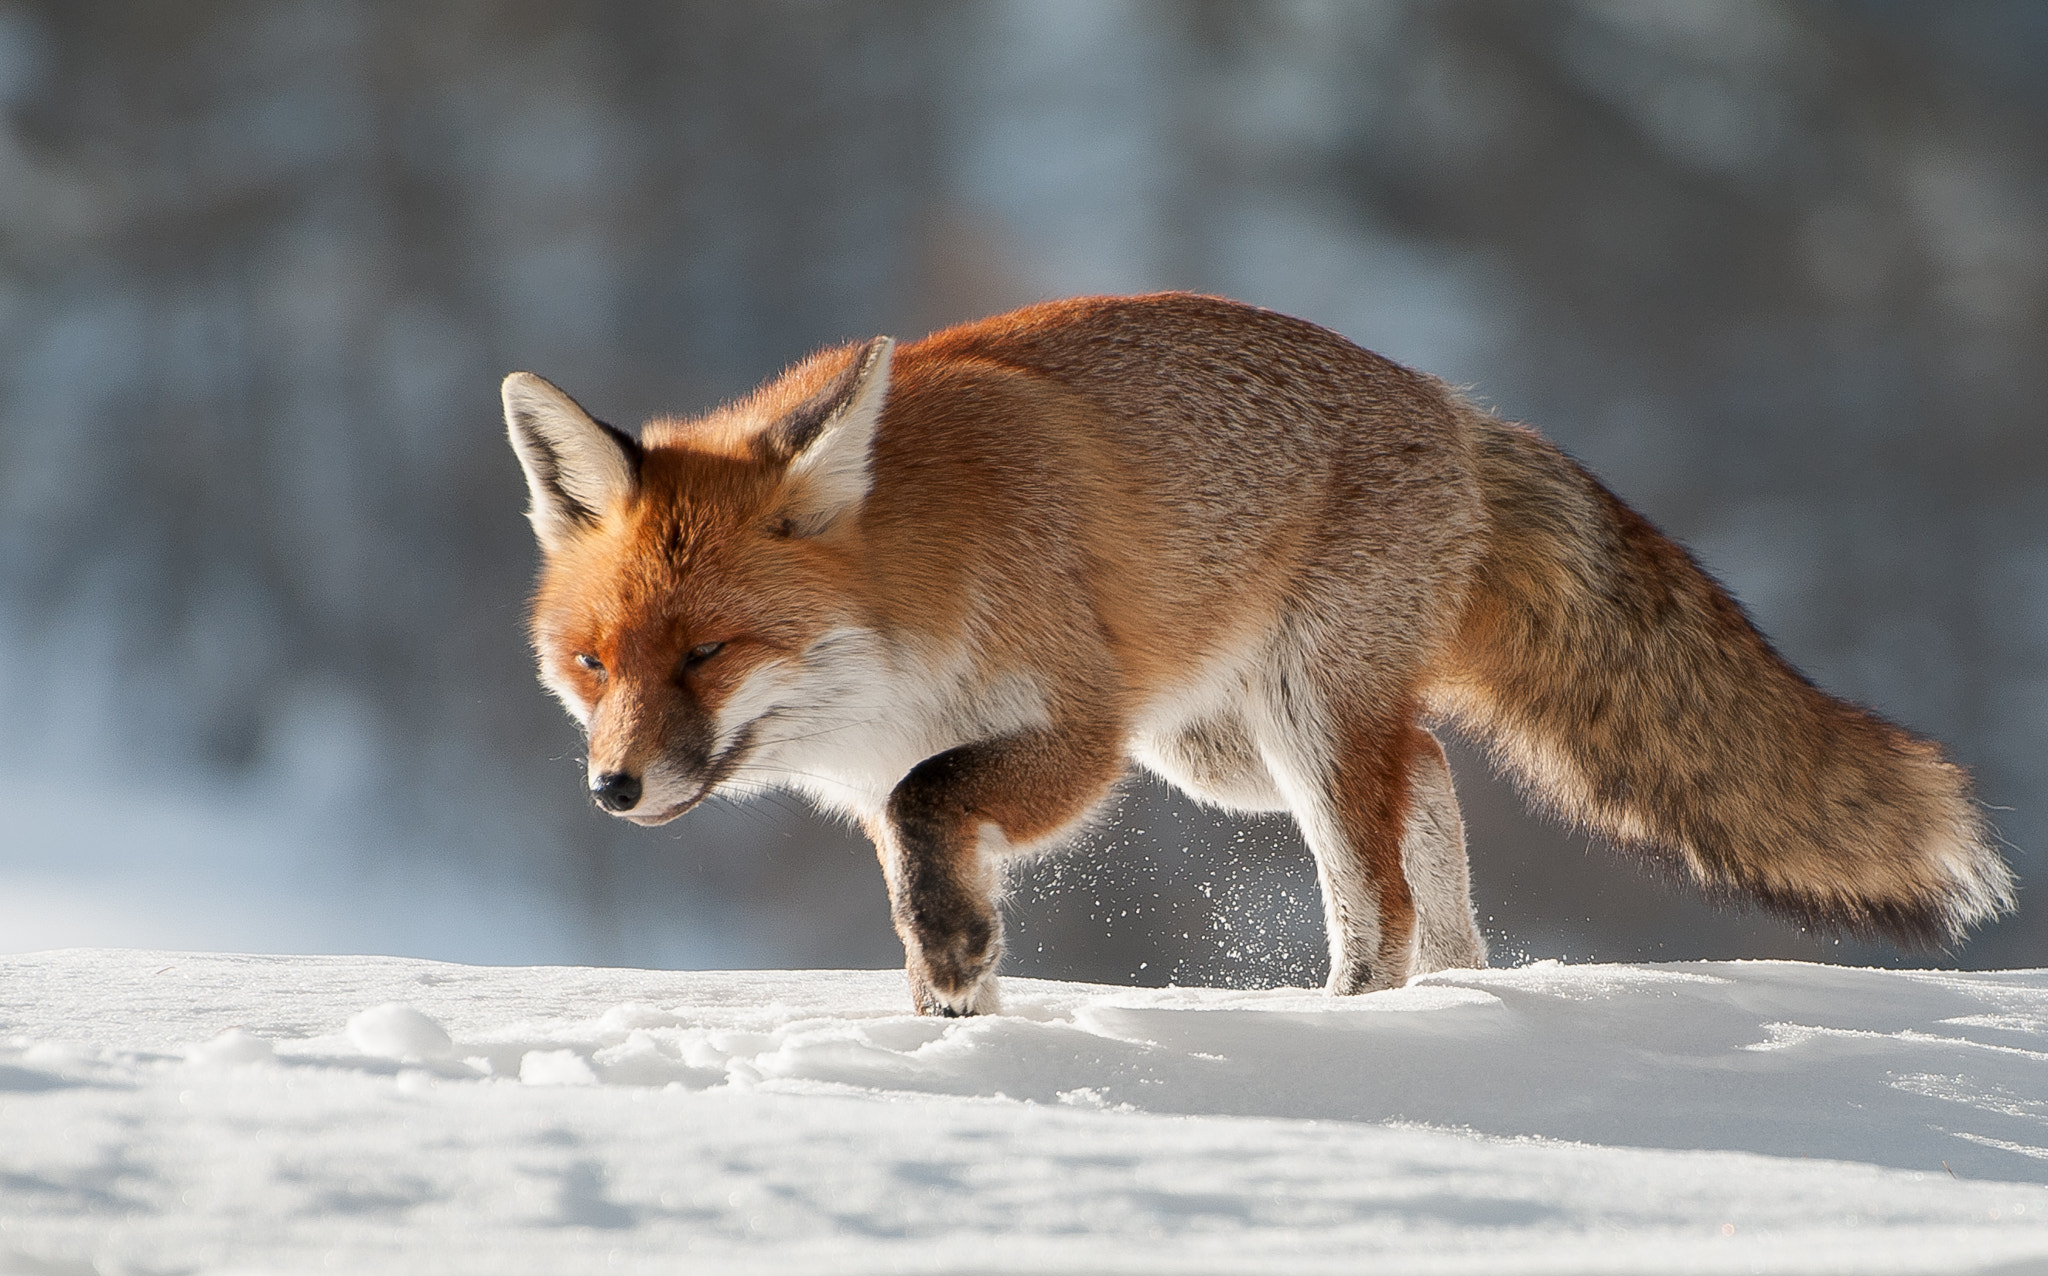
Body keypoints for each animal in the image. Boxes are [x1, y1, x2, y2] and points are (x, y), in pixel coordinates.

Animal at [504, 292, 2014, 1016]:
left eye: (709, 650)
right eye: (593, 665)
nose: (610, 790)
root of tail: (1450, 404)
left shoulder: (1074, 733)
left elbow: (934, 807)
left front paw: (956, 976)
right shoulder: (931, 775)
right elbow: (919, 863)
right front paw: (951, 1009)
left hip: (1289, 718)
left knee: (1378, 887)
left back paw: (1360, 1022)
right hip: (1223, 749)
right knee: (1430, 776)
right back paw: (1459, 986)